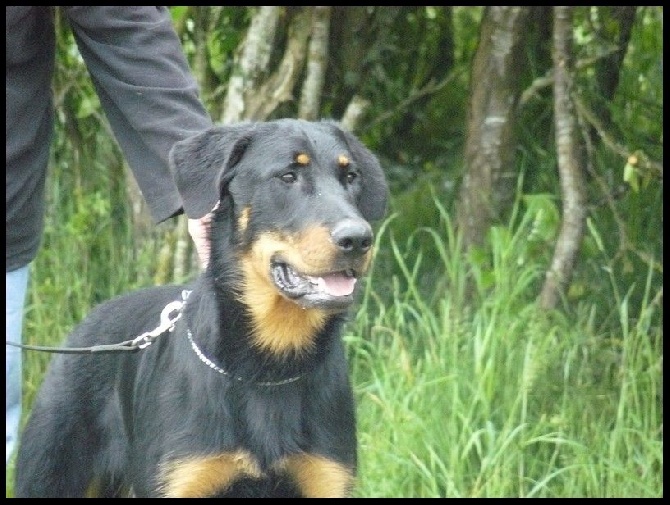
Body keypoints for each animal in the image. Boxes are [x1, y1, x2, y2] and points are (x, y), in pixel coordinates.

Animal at [14, 119, 388, 496]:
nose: (358, 239)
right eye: (287, 176)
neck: (269, 366)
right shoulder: (183, 476)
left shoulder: (326, 477)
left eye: (351, 176)